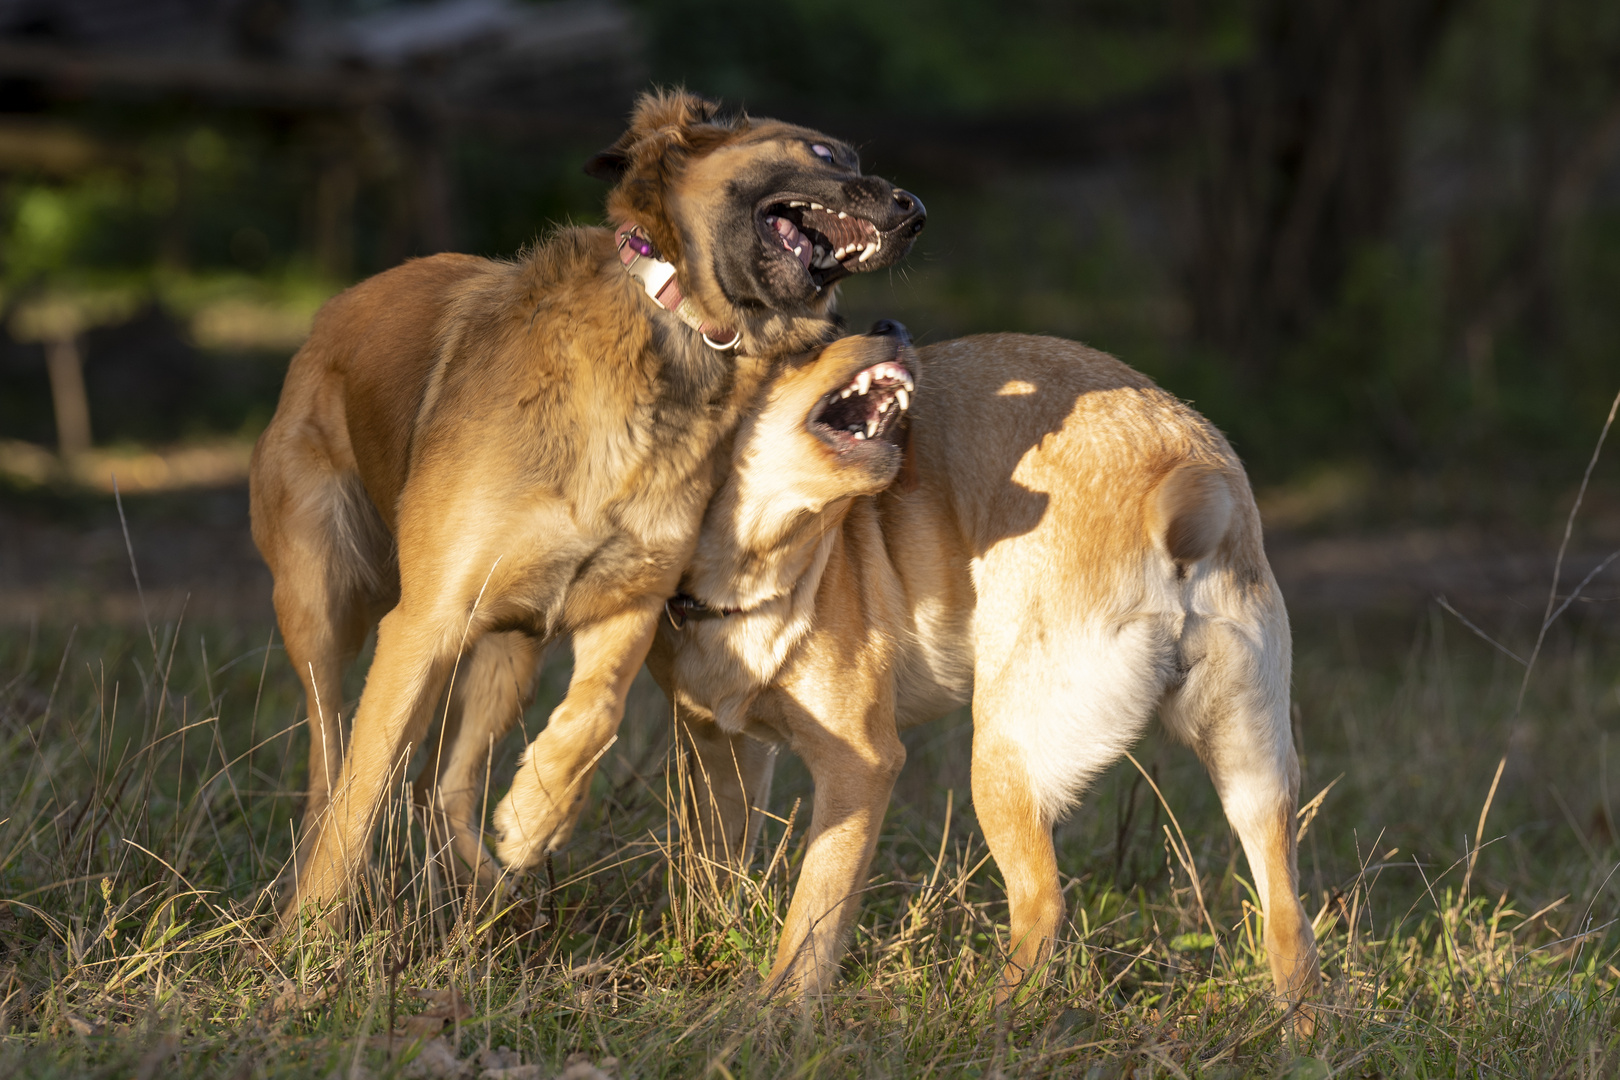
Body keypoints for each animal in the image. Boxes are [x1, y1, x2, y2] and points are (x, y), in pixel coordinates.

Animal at [244, 88, 920, 926]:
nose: (916, 210)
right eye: (825, 154)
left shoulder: (628, 604)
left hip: (508, 654)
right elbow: (360, 797)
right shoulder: (423, 621)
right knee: (331, 767)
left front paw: (539, 812)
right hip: (322, 608)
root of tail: (329, 313)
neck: (680, 335)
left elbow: (597, 712)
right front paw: (308, 933)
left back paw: (495, 895)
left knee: (445, 786)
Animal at [638, 323, 1321, 1016]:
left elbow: (812, 918)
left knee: (1042, 908)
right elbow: (712, 870)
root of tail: (1175, 473)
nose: (893, 328)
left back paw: (984, 1019)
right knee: (1291, 926)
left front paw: (774, 1012)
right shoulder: (723, 753)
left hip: (1000, 764)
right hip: (1252, 773)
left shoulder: (857, 766)